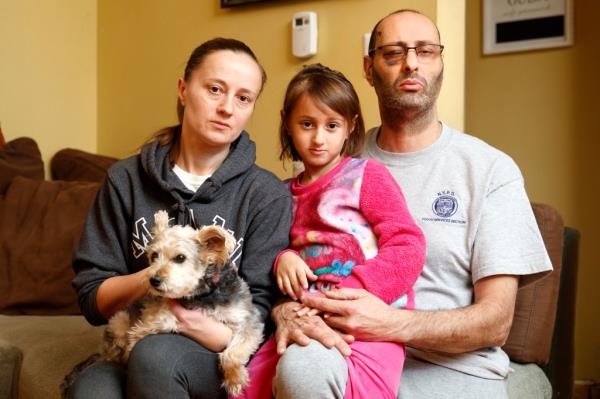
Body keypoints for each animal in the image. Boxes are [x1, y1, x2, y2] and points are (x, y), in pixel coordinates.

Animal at [61, 211, 264, 398]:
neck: (199, 296)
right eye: (154, 256)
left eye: (180, 258)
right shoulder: (151, 313)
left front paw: (234, 379)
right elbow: (152, 323)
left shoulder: (249, 320)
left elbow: (232, 354)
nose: (154, 280)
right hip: (118, 320)